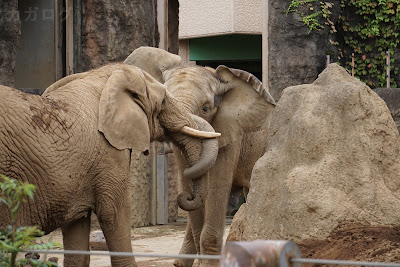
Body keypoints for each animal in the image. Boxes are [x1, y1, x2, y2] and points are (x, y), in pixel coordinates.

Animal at [0, 63, 222, 267]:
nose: (185, 196)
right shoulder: (109, 152)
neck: (103, 77)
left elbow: (77, 226)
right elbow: (114, 214)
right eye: (164, 100)